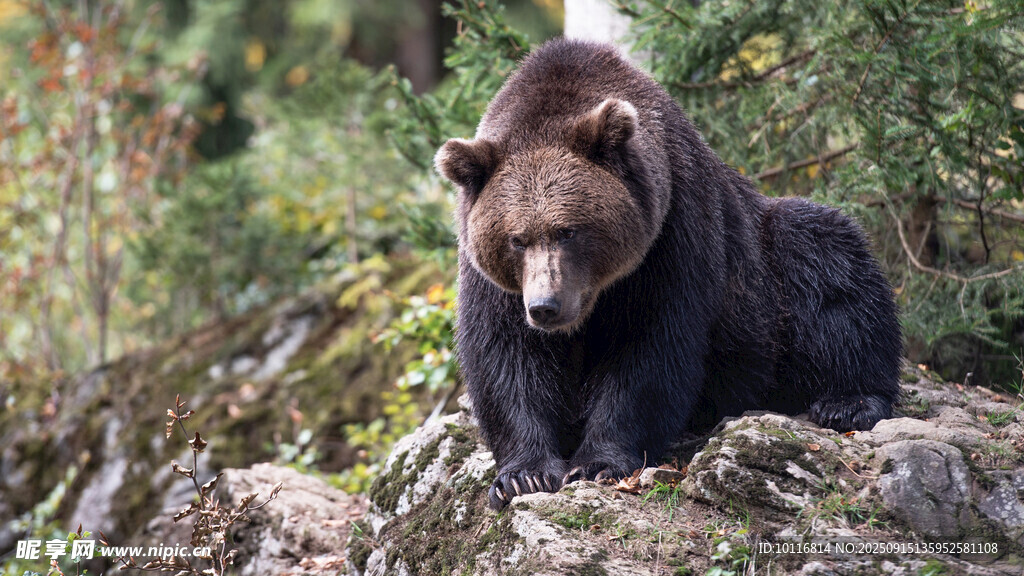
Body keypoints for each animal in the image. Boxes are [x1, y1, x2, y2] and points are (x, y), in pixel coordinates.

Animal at [434, 38, 902, 510]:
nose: (546, 307)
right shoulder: (492, 280)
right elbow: (506, 357)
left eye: (568, 230)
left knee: (827, 261)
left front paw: (599, 463)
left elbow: (649, 349)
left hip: (768, 276)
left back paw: (848, 401)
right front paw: (523, 475)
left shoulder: (672, 233)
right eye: (516, 239)